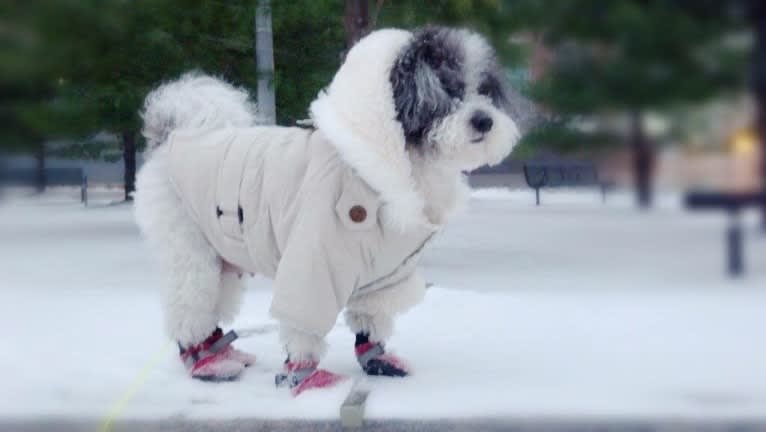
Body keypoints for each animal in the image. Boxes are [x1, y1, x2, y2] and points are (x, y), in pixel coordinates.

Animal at [136, 25, 520, 394]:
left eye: (485, 91)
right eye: (447, 89)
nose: (484, 120)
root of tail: (172, 136)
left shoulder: (386, 271)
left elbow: (371, 317)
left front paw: (377, 359)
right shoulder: (313, 261)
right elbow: (303, 325)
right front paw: (306, 378)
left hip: (222, 255)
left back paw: (224, 353)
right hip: (188, 247)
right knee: (189, 304)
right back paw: (206, 363)